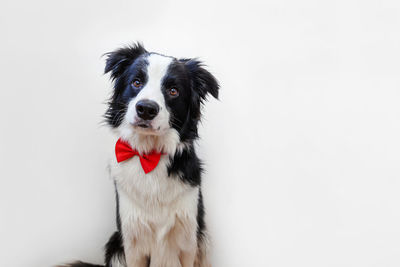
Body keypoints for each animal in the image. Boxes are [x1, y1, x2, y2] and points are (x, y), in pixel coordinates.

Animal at [62, 43, 219, 267]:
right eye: (136, 82)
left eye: (173, 91)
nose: (146, 108)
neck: (150, 155)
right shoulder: (132, 240)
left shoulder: (188, 240)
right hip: (115, 243)